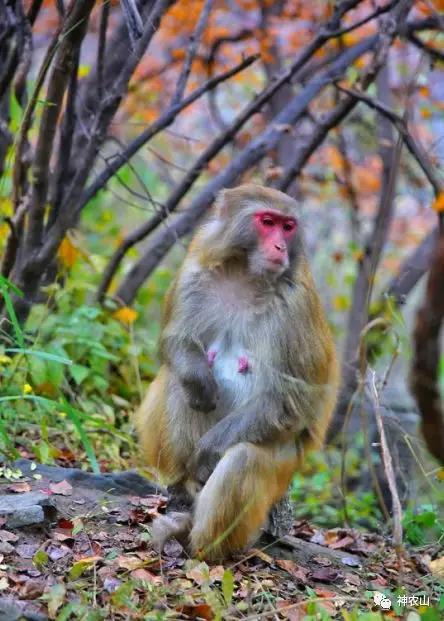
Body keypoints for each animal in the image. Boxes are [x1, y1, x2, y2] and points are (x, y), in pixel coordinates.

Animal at [134, 182, 338, 560]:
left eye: (288, 227)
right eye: (267, 222)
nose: (279, 247)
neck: (247, 276)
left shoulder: (296, 307)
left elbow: (287, 400)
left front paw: (207, 453)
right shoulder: (196, 270)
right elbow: (177, 340)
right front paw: (199, 381)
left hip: (282, 470)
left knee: (245, 457)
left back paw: (198, 544)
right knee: (180, 385)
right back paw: (183, 492)